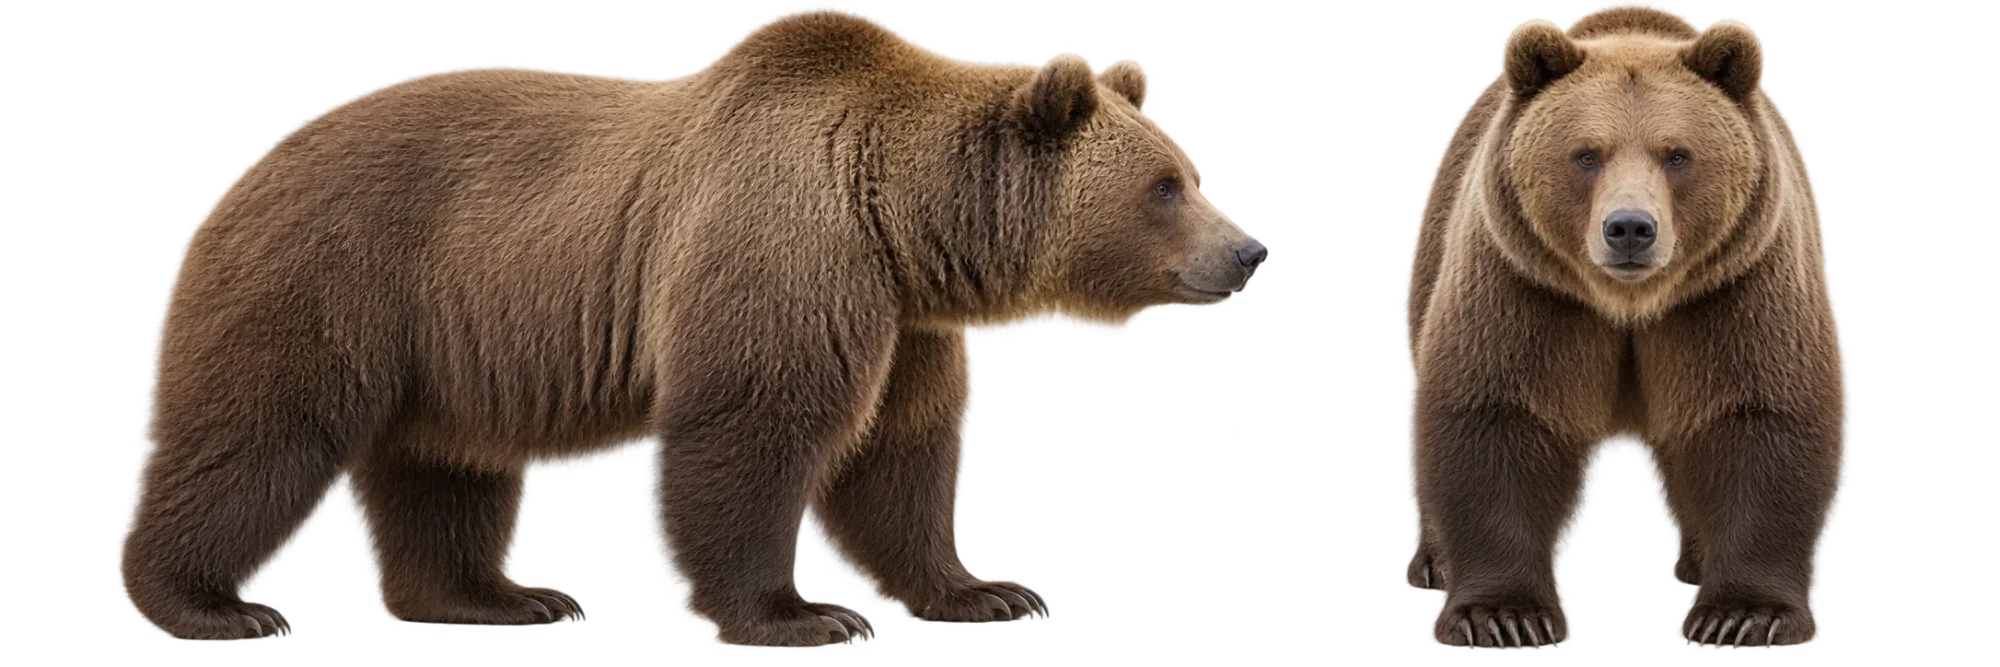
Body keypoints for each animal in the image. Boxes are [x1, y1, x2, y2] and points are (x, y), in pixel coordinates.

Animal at [115, 4, 1270, 649]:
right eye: (1166, 187)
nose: (1249, 249)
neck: (899, 222)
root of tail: (240, 172)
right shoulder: (786, 247)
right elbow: (748, 429)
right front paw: (802, 615)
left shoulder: (903, 322)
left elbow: (896, 461)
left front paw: (985, 589)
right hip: (331, 277)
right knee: (252, 435)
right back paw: (214, 604)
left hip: (446, 340)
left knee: (445, 469)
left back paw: (504, 596)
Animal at [1400, 0, 1848, 652]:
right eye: (1587, 154)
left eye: (1677, 154)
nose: (1630, 228)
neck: (1627, 305)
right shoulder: (1526, 286)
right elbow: (1495, 412)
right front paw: (1504, 616)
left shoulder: (1736, 288)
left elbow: (1762, 414)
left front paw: (1742, 616)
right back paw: (1432, 564)